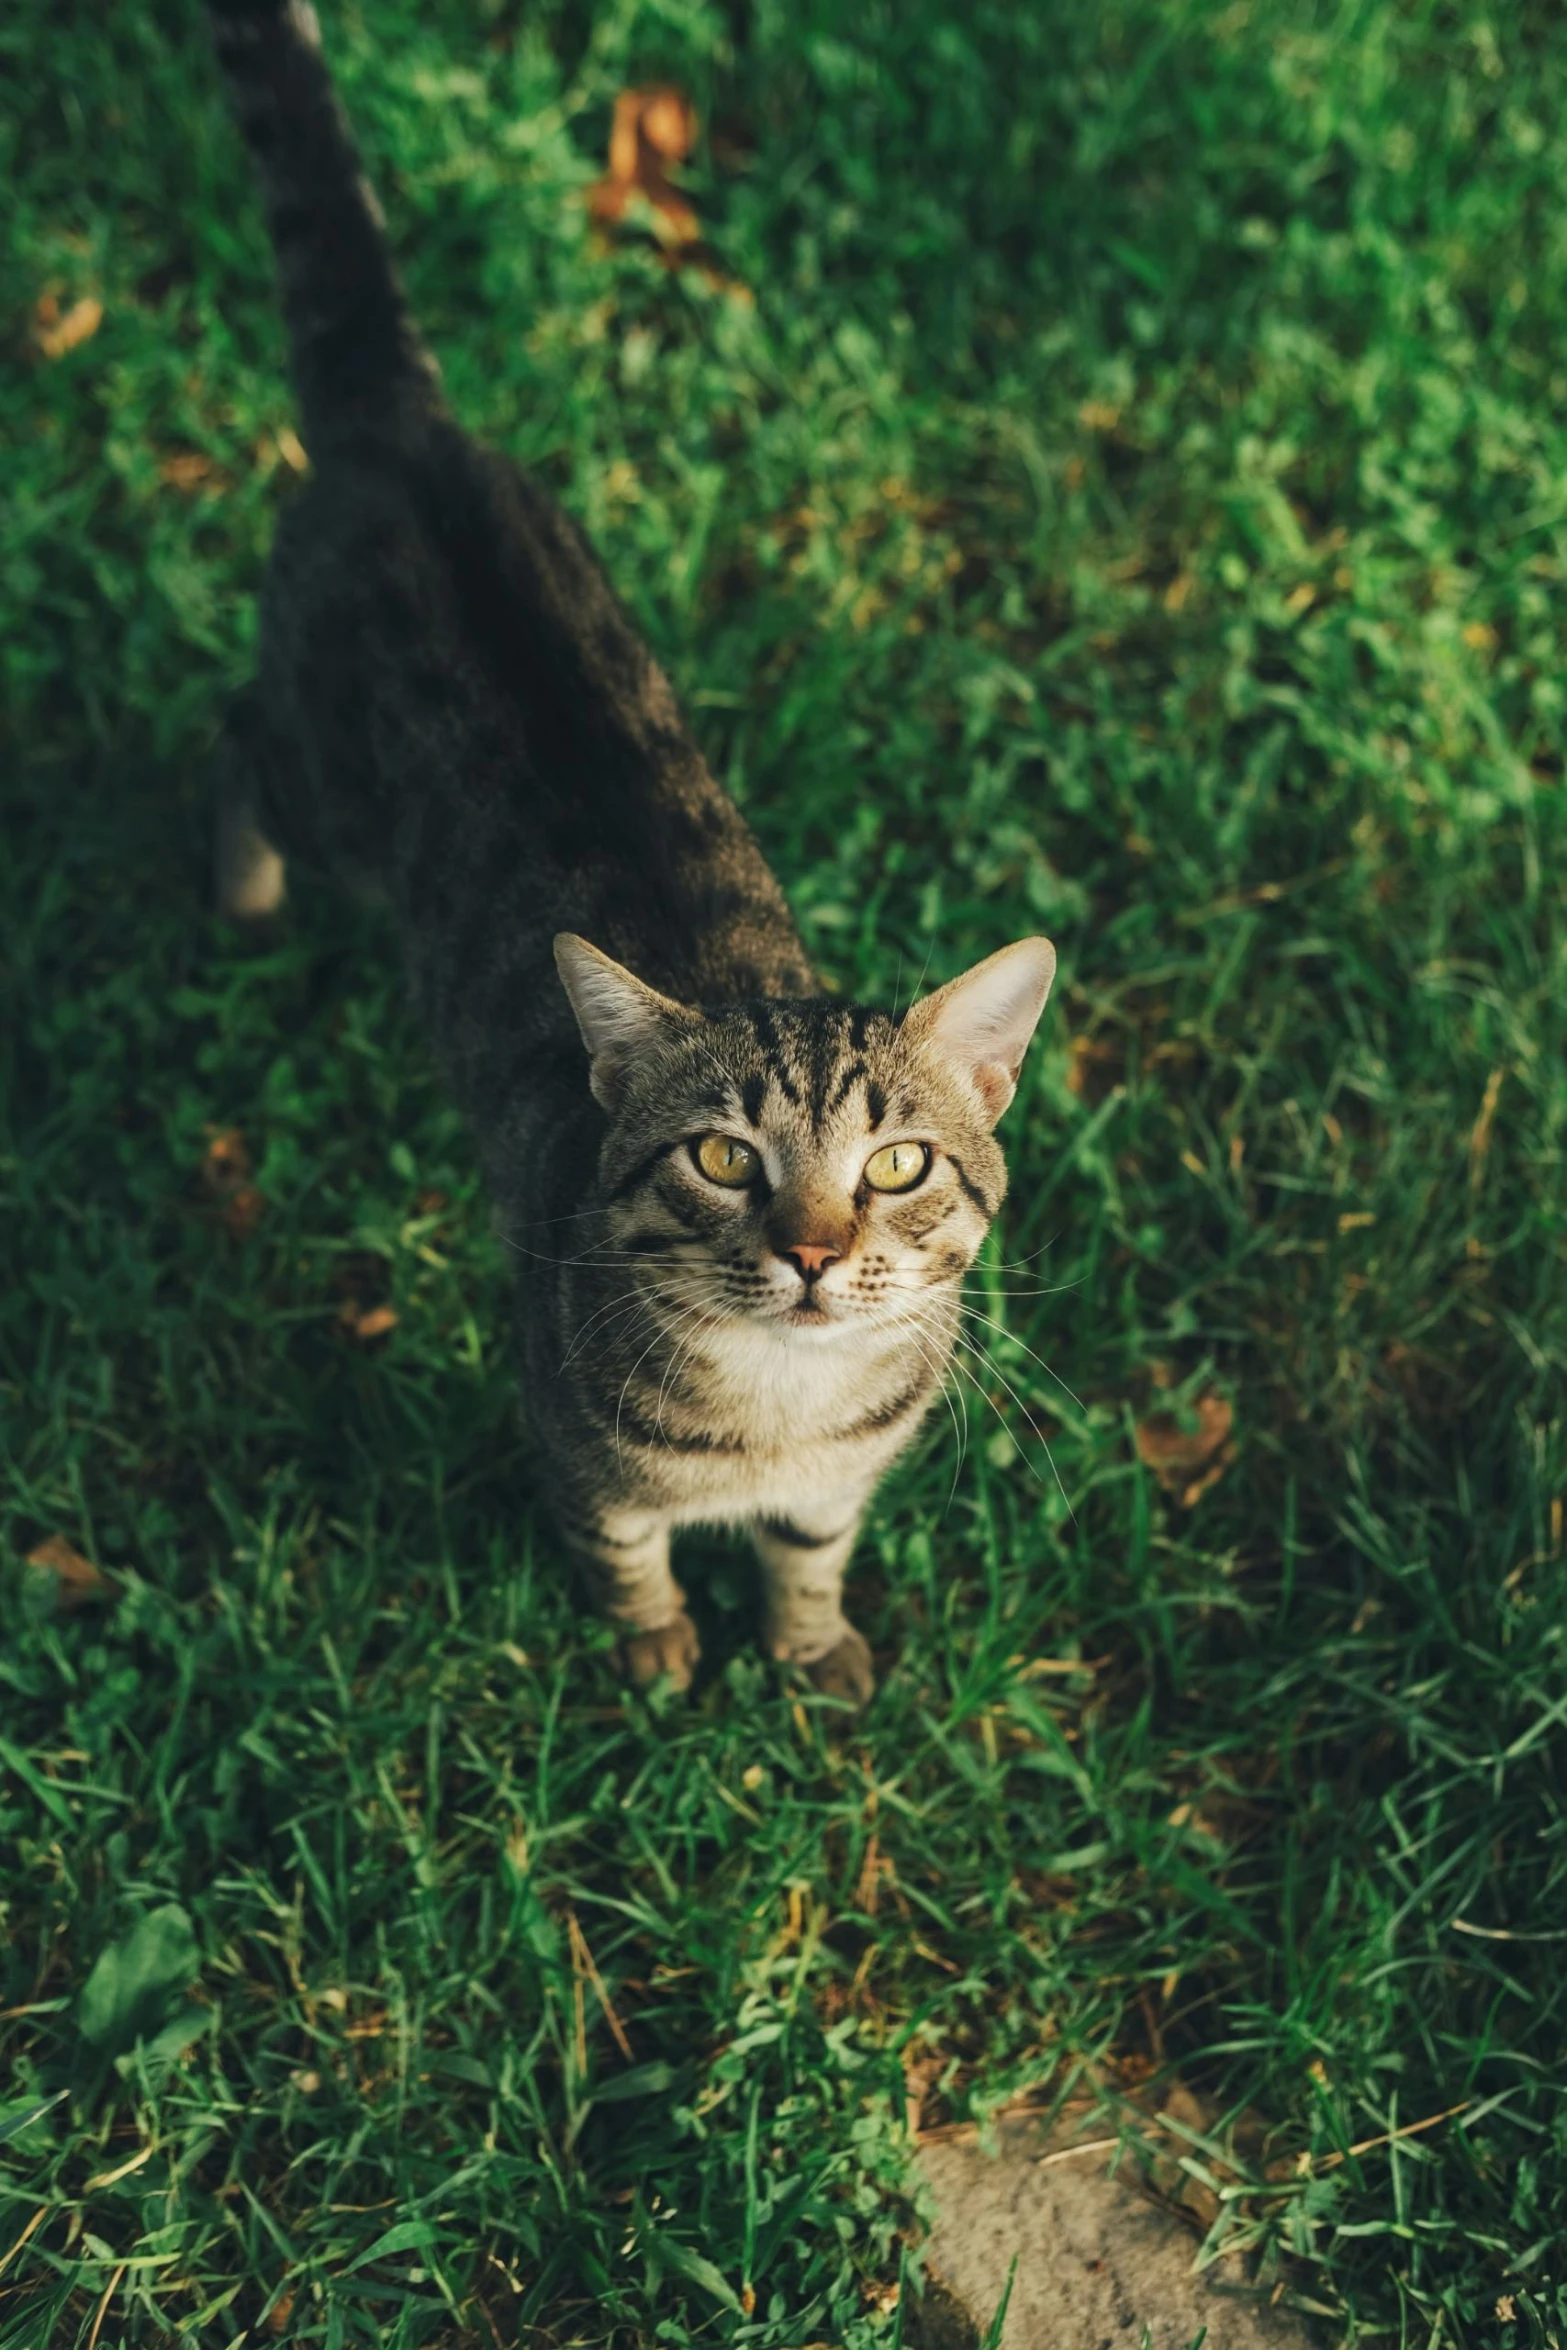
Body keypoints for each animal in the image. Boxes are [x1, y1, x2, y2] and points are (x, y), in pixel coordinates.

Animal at [207, 0, 1061, 1701]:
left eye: (897, 1165)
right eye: (724, 1156)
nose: (811, 1253)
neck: (779, 1406)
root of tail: (405, 425)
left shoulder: (835, 1480)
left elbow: (810, 1551)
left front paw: (808, 1648)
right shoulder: (573, 1447)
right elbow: (622, 1555)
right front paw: (659, 1648)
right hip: (324, 787)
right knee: (236, 739)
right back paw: (240, 893)